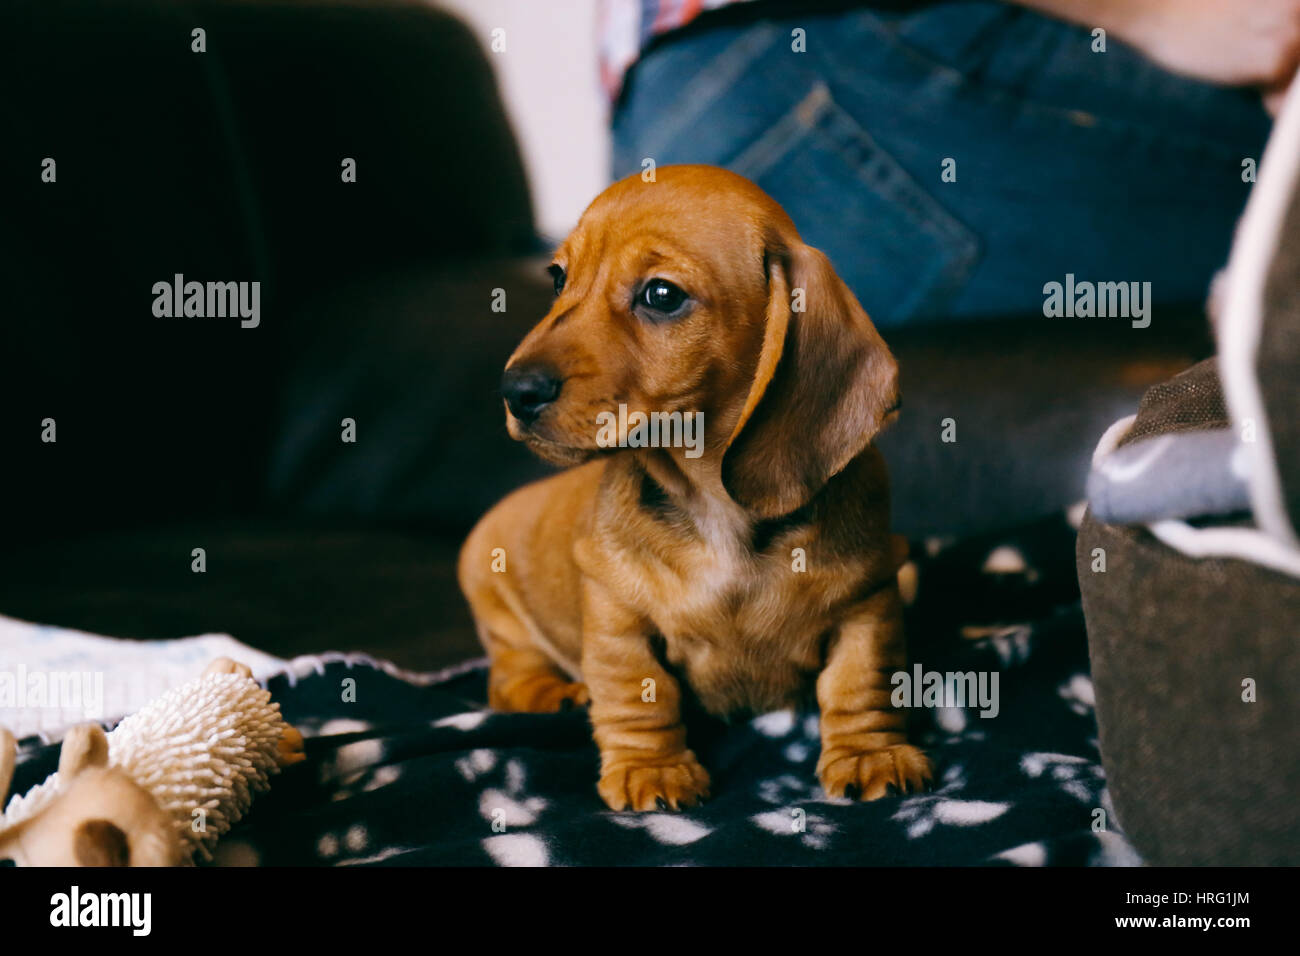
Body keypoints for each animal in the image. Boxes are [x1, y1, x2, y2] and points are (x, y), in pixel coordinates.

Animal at [462, 162, 930, 806]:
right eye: (558, 279)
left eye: (662, 295)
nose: (515, 391)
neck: (714, 502)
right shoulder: (617, 616)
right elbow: (637, 693)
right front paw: (650, 768)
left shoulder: (869, 600)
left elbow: (860, 684)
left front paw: (869, 753)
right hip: (500, 608)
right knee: (509, 679)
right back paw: (555, 695)